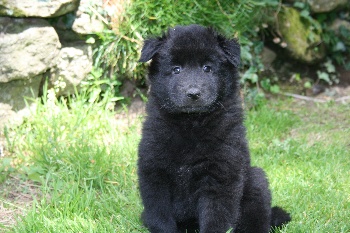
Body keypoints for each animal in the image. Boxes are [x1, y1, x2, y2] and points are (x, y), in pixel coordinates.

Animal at [137, 24, 290, 232]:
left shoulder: (221, 175)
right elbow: (160, 217)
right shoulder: (154, 172)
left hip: (255, 181)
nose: (193, 93)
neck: (191, 124)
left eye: (207, 68)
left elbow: (215, 216)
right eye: (176, 69)